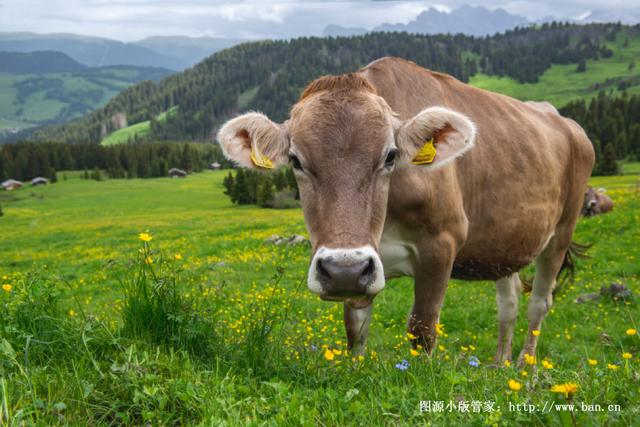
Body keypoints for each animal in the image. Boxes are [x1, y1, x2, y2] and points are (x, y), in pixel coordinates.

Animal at [219, 56, 596, 364]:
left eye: (389, 156)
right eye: (296, 160)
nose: (343, 270)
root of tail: (565, 121)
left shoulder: (442, 244)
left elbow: (422, 328)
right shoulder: (363, 269)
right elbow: (355, 329)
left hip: (562, 231)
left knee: (539, 303)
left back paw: (525, 369)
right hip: (506, 242)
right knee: (509, 302)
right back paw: (499, 366)